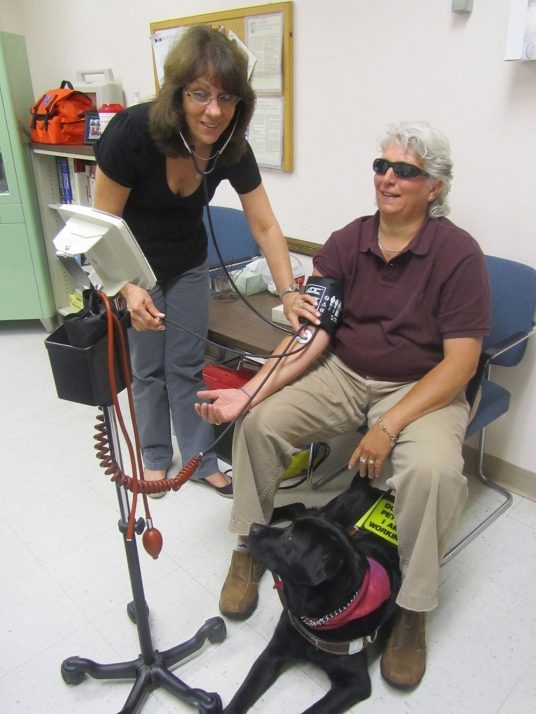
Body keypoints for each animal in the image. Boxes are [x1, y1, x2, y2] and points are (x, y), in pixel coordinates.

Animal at [224, 472, 400, 712]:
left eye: (290, 538)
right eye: (289, 533)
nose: (254, 528)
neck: (321, 617)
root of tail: (380, 492)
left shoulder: (355, 682)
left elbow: (313, 710)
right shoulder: (275, 650)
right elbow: (244, 692)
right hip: (329, 512)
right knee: (300, 507)